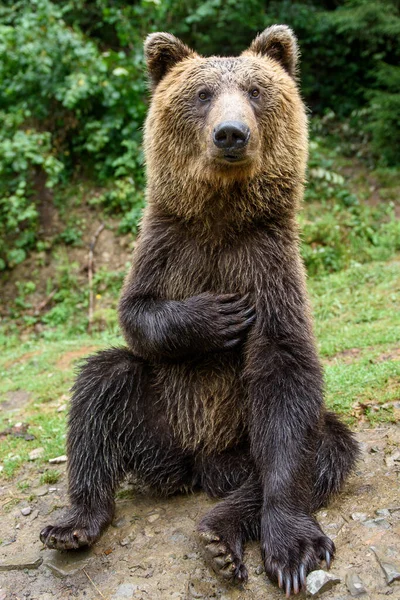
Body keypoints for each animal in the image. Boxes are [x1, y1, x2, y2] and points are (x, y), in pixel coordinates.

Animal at [41, 24, 360, 596]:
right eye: (203, 94)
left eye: (255, 91)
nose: (231, 134)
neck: (221, 215)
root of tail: (196, 465)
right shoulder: (167, 245)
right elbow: (136, 313)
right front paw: (217, 316)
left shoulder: (267, 261)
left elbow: (284, 369)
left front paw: (295, 548)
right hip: (156, 415)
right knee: (101, 386)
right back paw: (76, 522)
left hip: (242, 443)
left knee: (322, 447)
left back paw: (220, 534)